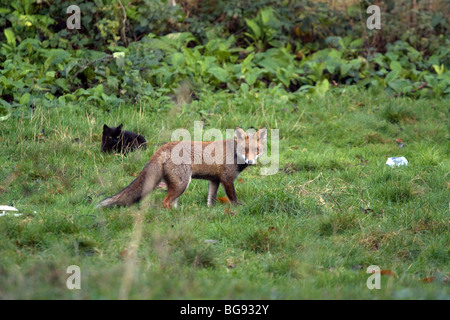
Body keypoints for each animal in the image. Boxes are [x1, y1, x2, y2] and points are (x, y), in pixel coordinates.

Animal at [97, 126, 268, 209]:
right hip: (182, 183)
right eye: (245, 150)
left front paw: (210, 212)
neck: (234, 154)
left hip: (176, 185)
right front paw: (236, 210)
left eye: (256, 150)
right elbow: (233, 199)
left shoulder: (214, 180)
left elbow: (210, 200)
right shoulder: (227, 179)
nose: (250, 161)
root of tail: (163, 147)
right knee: (166, 202)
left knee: (172, 202)